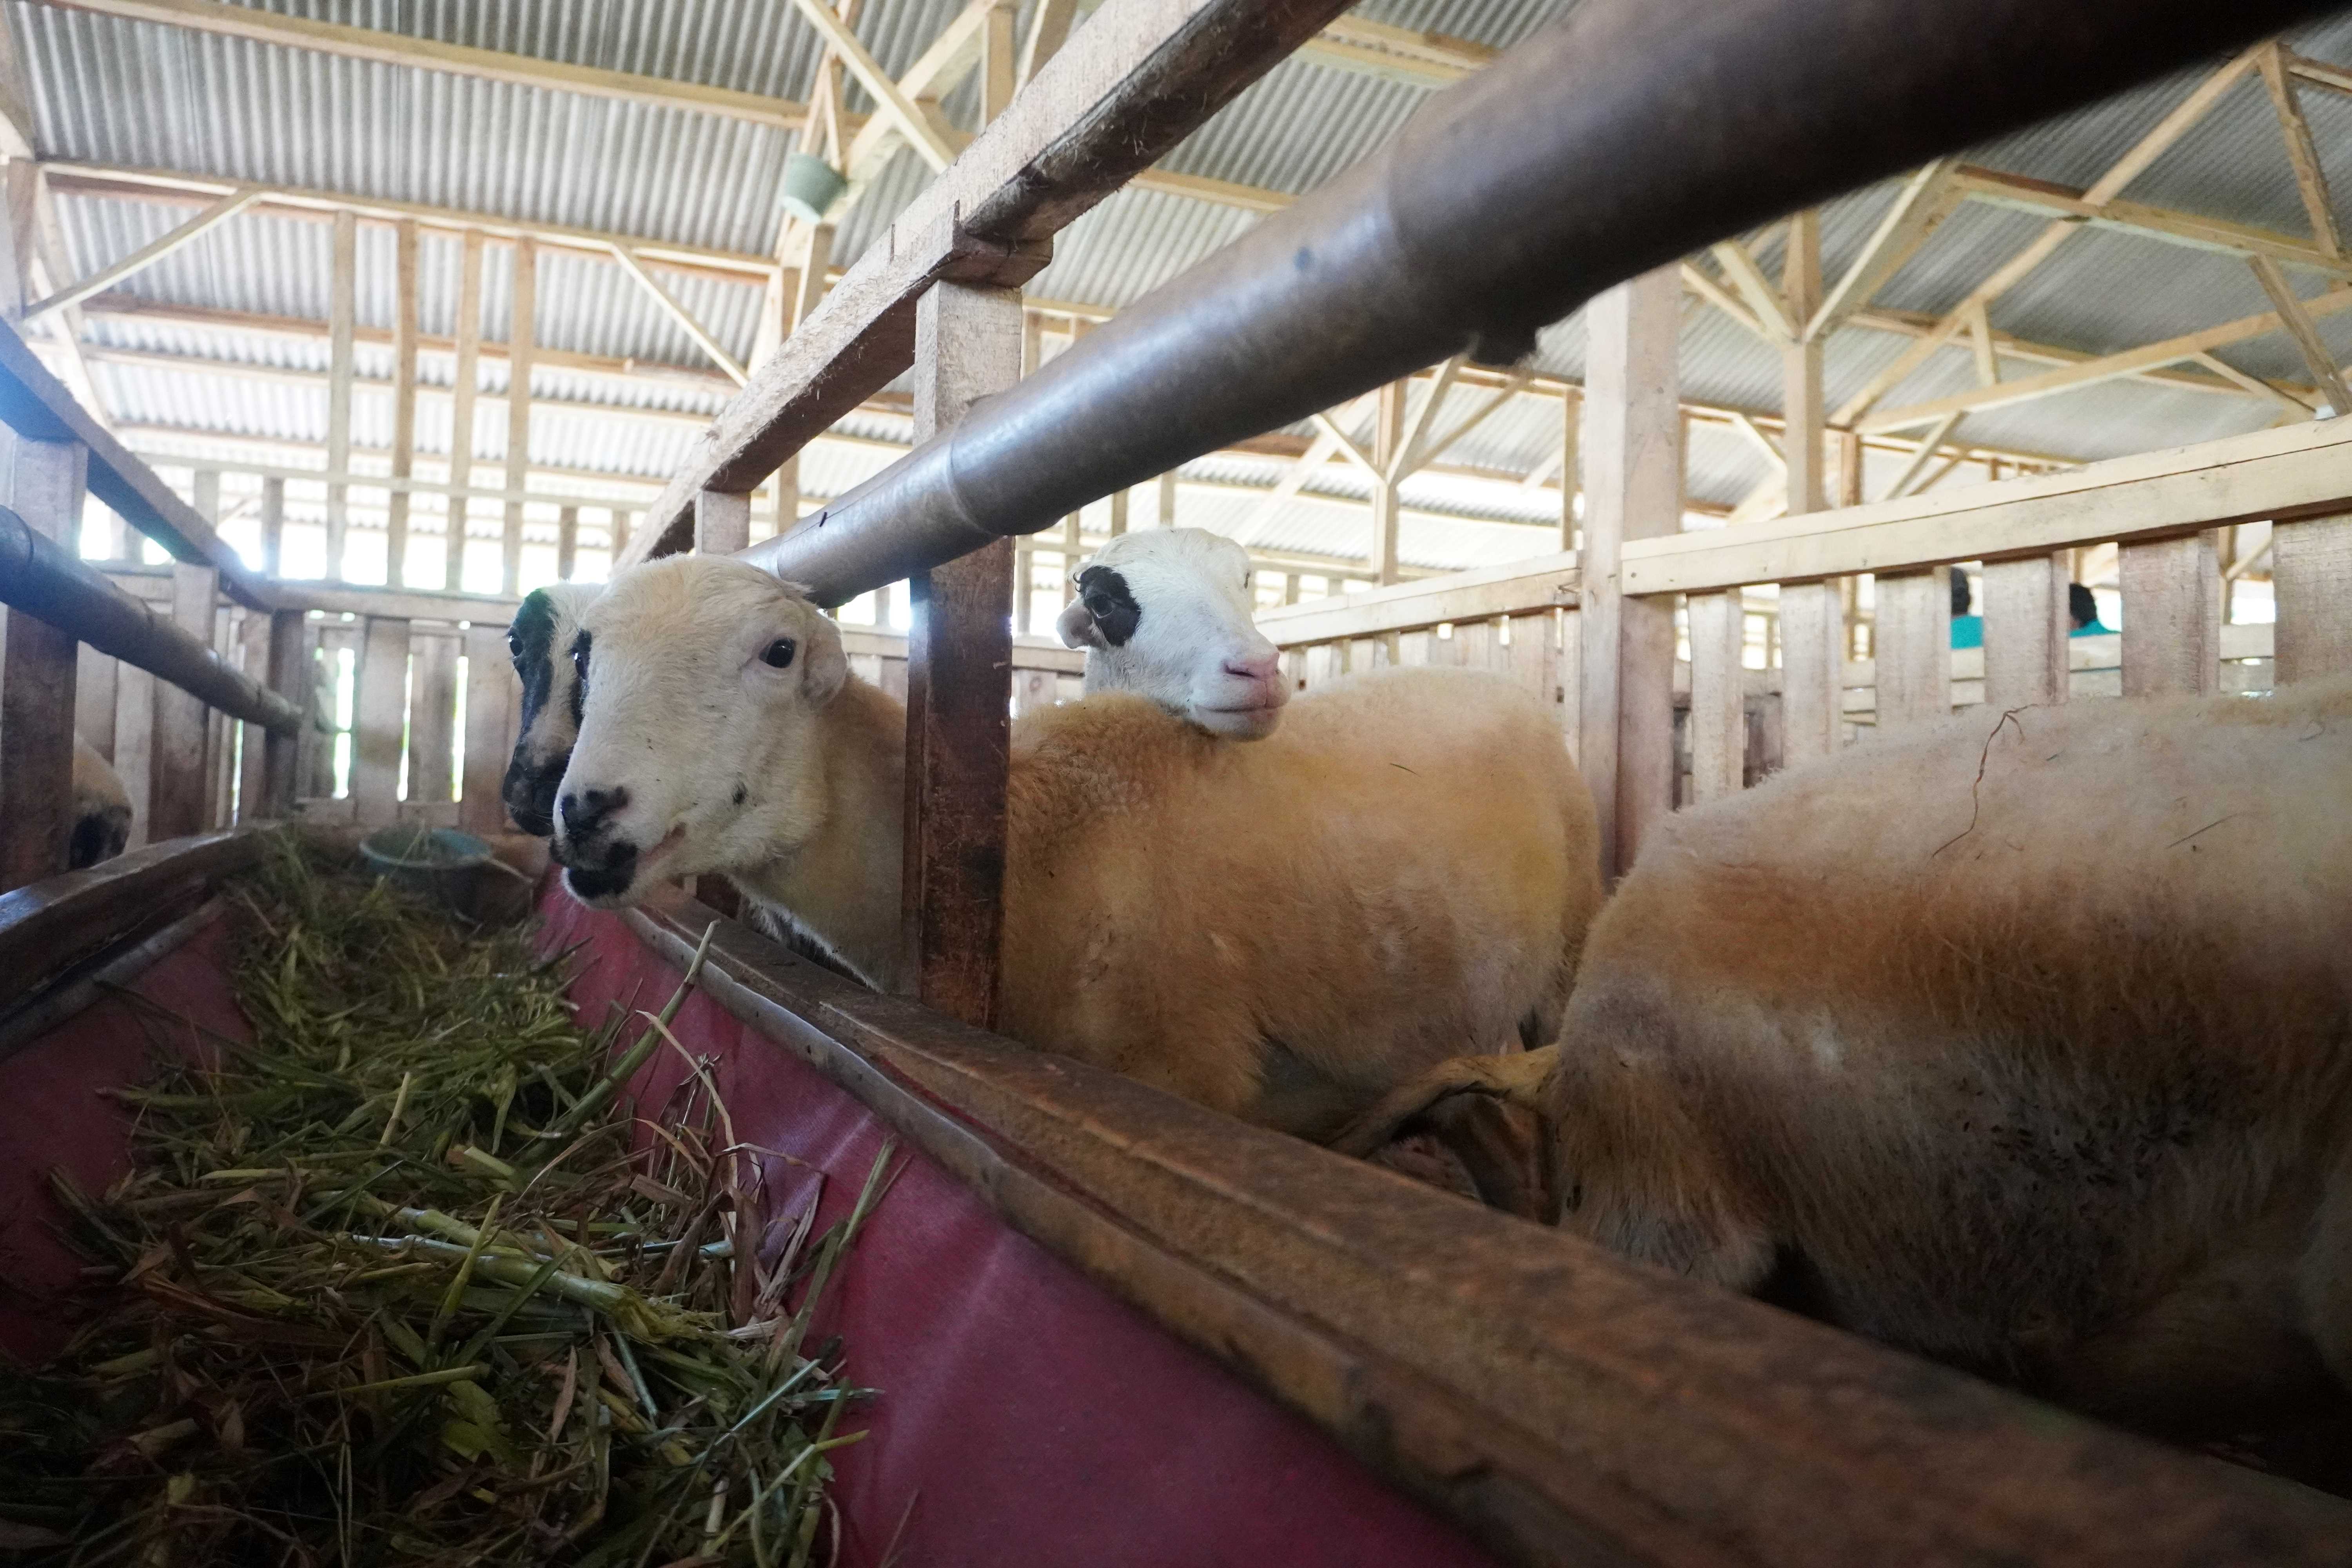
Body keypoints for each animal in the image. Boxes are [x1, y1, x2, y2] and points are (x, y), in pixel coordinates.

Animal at [546, 555, 1599, 1142]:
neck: (1036, 842)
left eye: (779, 652)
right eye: (587, 656)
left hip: (1569, 956)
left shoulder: (1186, 1075)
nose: (586, 815)